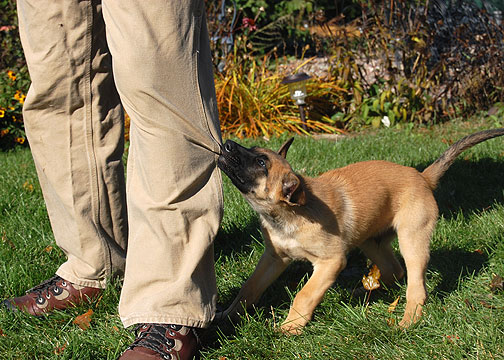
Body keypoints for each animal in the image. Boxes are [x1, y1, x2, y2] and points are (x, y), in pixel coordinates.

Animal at [217, 128, 504, 334]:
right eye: (255, 152)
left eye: (260, 162)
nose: (227, 144)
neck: (291, 212)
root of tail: (423, 177)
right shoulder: (274, 258)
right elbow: (250, 288)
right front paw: (228, 315)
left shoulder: (331, 262)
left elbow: (305, 294)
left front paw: (291, 327)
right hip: (370, 241)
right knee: (393, 270)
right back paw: (364, 292)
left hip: (412, 241)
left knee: (414, 285)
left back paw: (408, 320)